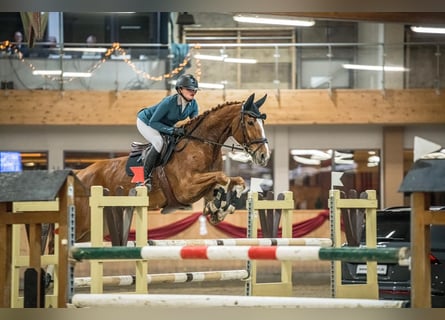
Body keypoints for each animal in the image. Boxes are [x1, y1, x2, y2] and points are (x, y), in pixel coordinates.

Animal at [72, 92, 270, 242]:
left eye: (263, 123)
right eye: (250, 122)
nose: (264, 155)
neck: (202, 144)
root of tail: (80, 173)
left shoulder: (203, 186)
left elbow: (235, 181)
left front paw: (218, 209)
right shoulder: (186, 187)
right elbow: (223, 177)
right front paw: (218, 207)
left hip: (98, 225)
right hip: (83, 222)